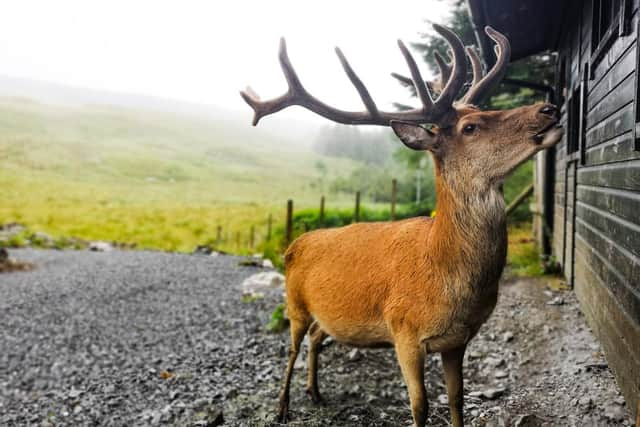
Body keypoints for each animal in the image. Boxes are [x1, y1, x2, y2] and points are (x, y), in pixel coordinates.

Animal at [239, 24, 560, 427]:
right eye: (470, 127)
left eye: (481, 112)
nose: (549, 108)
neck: (445, 275)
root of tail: (293, 244)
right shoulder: (404, 331)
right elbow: (419, 406)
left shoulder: (459, 339)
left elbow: (457, 399)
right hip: (294, 301)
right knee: (293, 346)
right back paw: (282, 407)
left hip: (324, 316)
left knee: (315, 336)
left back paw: (315, 392)